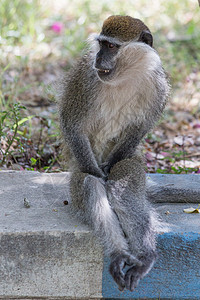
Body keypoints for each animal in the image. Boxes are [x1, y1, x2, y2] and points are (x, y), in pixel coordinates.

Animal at [57, 15, 170, 290]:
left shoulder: (159, 85)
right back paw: (119, 253)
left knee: (123, 185)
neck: (125, 75)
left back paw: (144, 257)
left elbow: (140, 128)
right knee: (88, 185)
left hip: (134, 162)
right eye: (101, 44)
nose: (98, 58)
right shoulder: (85, 78)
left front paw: (109, 170)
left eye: (111, 47)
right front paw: (98, 173)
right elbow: (72, 123)